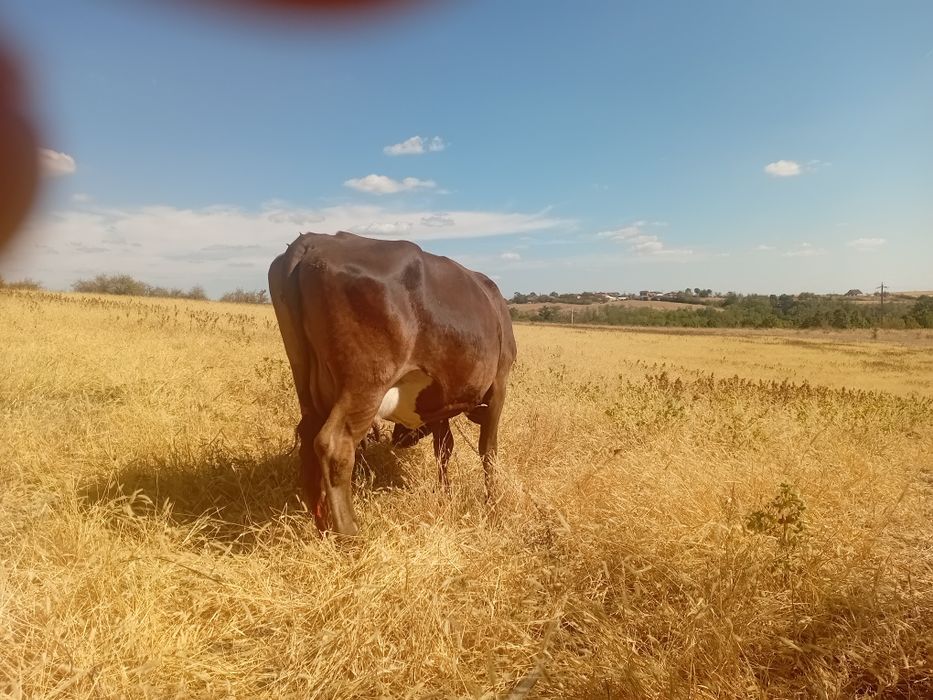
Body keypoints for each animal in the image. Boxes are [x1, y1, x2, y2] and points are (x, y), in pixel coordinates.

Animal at [268, 231, 517, 536]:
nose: (400, 438)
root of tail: (316, 240)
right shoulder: (499, 384)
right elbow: (488, 451)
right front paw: (492, 506)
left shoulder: (439, 402)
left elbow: (444, 448)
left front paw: (445, 494)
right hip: (366, 384)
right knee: (334, 446)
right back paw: (350, 533)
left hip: (306, 383)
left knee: (308, 440)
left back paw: (323, 527)